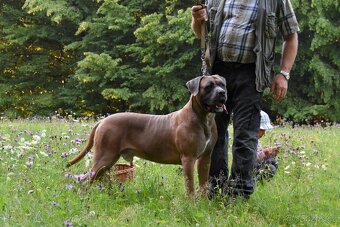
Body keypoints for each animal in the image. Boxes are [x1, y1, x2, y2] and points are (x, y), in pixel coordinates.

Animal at [66, 75, 227, 197]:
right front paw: (191, 205)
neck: (203, 118)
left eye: (222, 85)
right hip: (104, 157)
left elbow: (203, 184)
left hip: (107, 161)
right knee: (85, 179)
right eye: (208, 86)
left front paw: (203, 204)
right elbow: (190, 186)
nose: (222, 93)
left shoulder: (205, 158)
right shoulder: (188, 159)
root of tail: (103, 120)